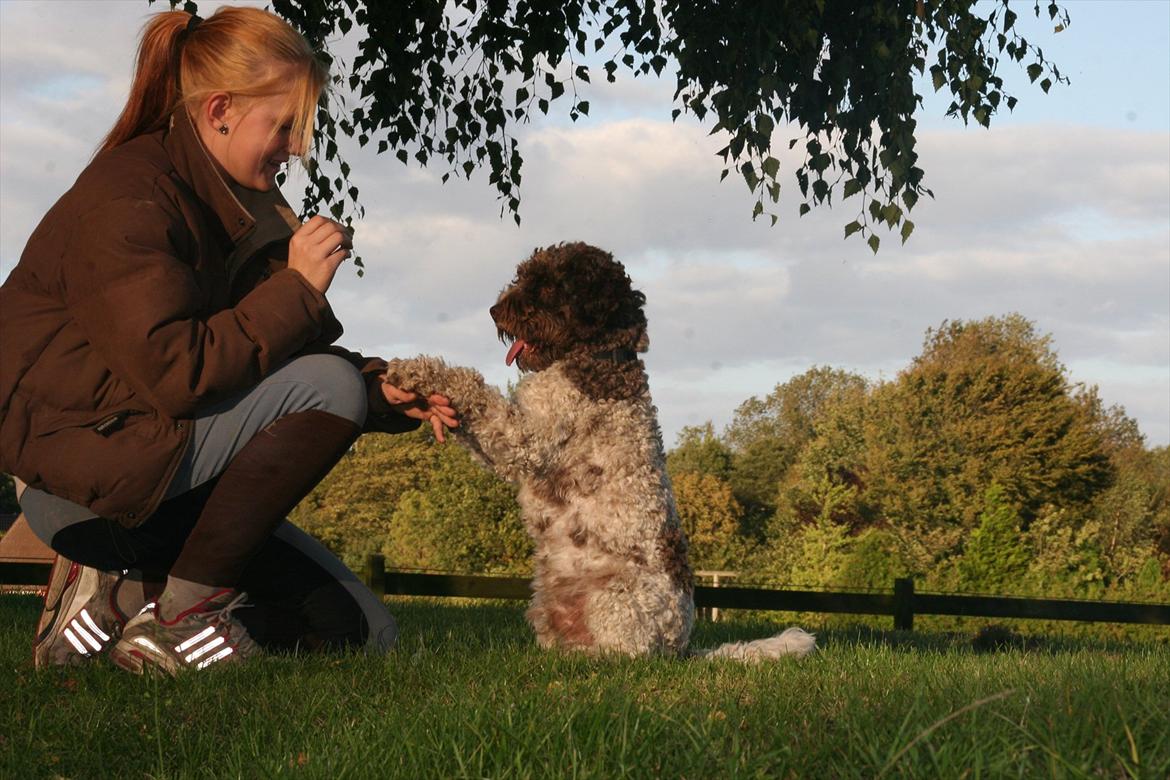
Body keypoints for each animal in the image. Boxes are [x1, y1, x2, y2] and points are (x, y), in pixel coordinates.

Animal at [383, 242, 814, 659]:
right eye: (524, 275)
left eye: (547, 286)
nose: (494, 311)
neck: (595, 357)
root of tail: (680, 649)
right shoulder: (506, 443)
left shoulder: (524, 437)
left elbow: (472, 385)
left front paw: (415, 369)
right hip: (546, 599)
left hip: (615, 599)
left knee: (628, 655)